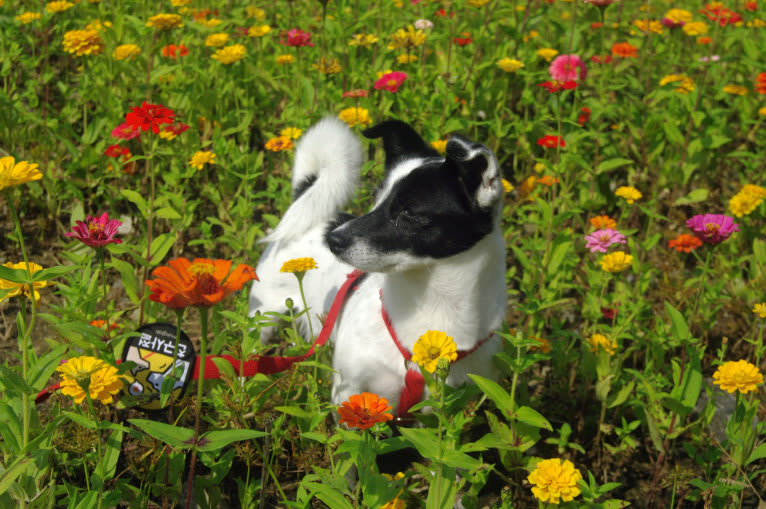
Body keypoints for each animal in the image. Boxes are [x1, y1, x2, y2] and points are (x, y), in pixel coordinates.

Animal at [249, 118, 508, 412]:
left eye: (408, 212)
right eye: (376, 199)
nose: (333, 240)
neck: (436, 304)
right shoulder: (348, 396)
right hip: (261, 318)